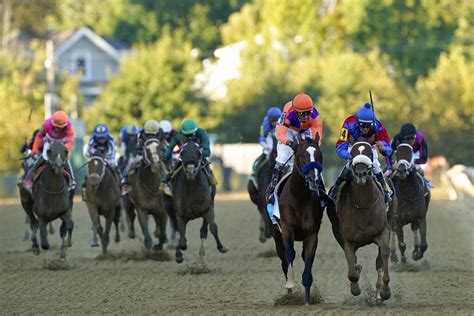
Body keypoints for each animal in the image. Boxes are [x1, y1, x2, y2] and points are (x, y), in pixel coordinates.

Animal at [270, 135, 340, 306]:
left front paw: (307, 299)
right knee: (284, 259)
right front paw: (290, 284)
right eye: (301, 155)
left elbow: (308, 258)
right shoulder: (287, 230)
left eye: (320, 155)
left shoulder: (312, 234)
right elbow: (289, 254)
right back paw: (289, 294)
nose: (314, 179)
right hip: (276, 236)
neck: (299, 197)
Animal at [336, 141, 396, 302]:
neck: (363, 203)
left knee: (379, 260)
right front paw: (355, 287)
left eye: (369, 153)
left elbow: (385, 254)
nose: (361, 174)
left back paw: (379, 293)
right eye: (353, 154)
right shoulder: (348, 239)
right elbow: (351, 268)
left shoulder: (383, 231)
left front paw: (385, 290)